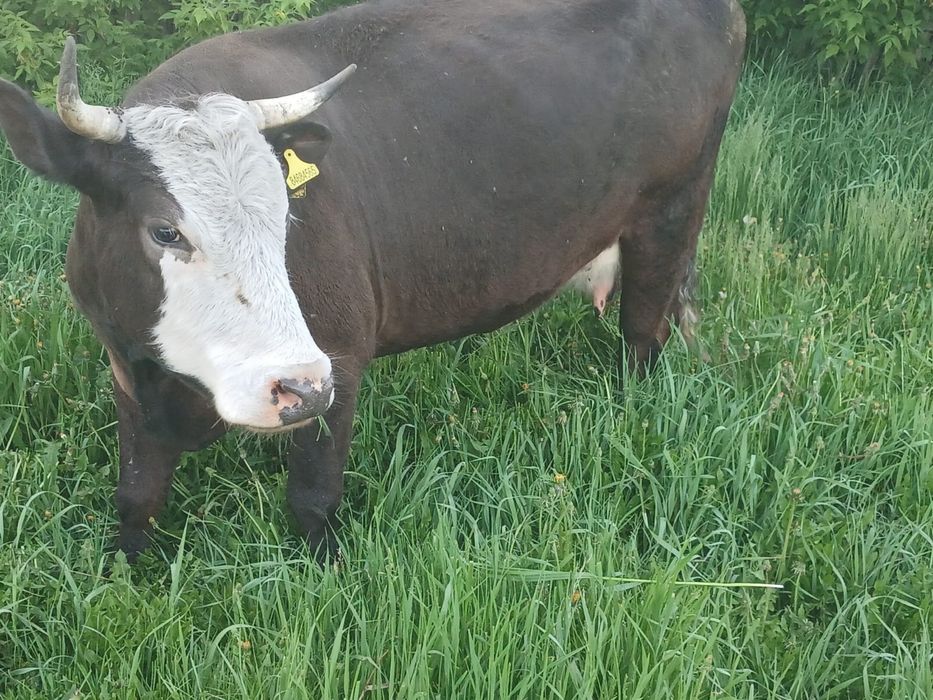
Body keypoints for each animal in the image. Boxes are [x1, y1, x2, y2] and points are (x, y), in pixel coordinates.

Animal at [0, 0, 746, 561]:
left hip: (671, 212)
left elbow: (313, 498)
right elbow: (137, 496)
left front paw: (323, 577)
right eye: (163, 231)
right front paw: (125, 573)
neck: (178, 389)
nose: (295, 386)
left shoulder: (339, 358)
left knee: (642, 333)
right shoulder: (126, 364)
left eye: (287, 217)